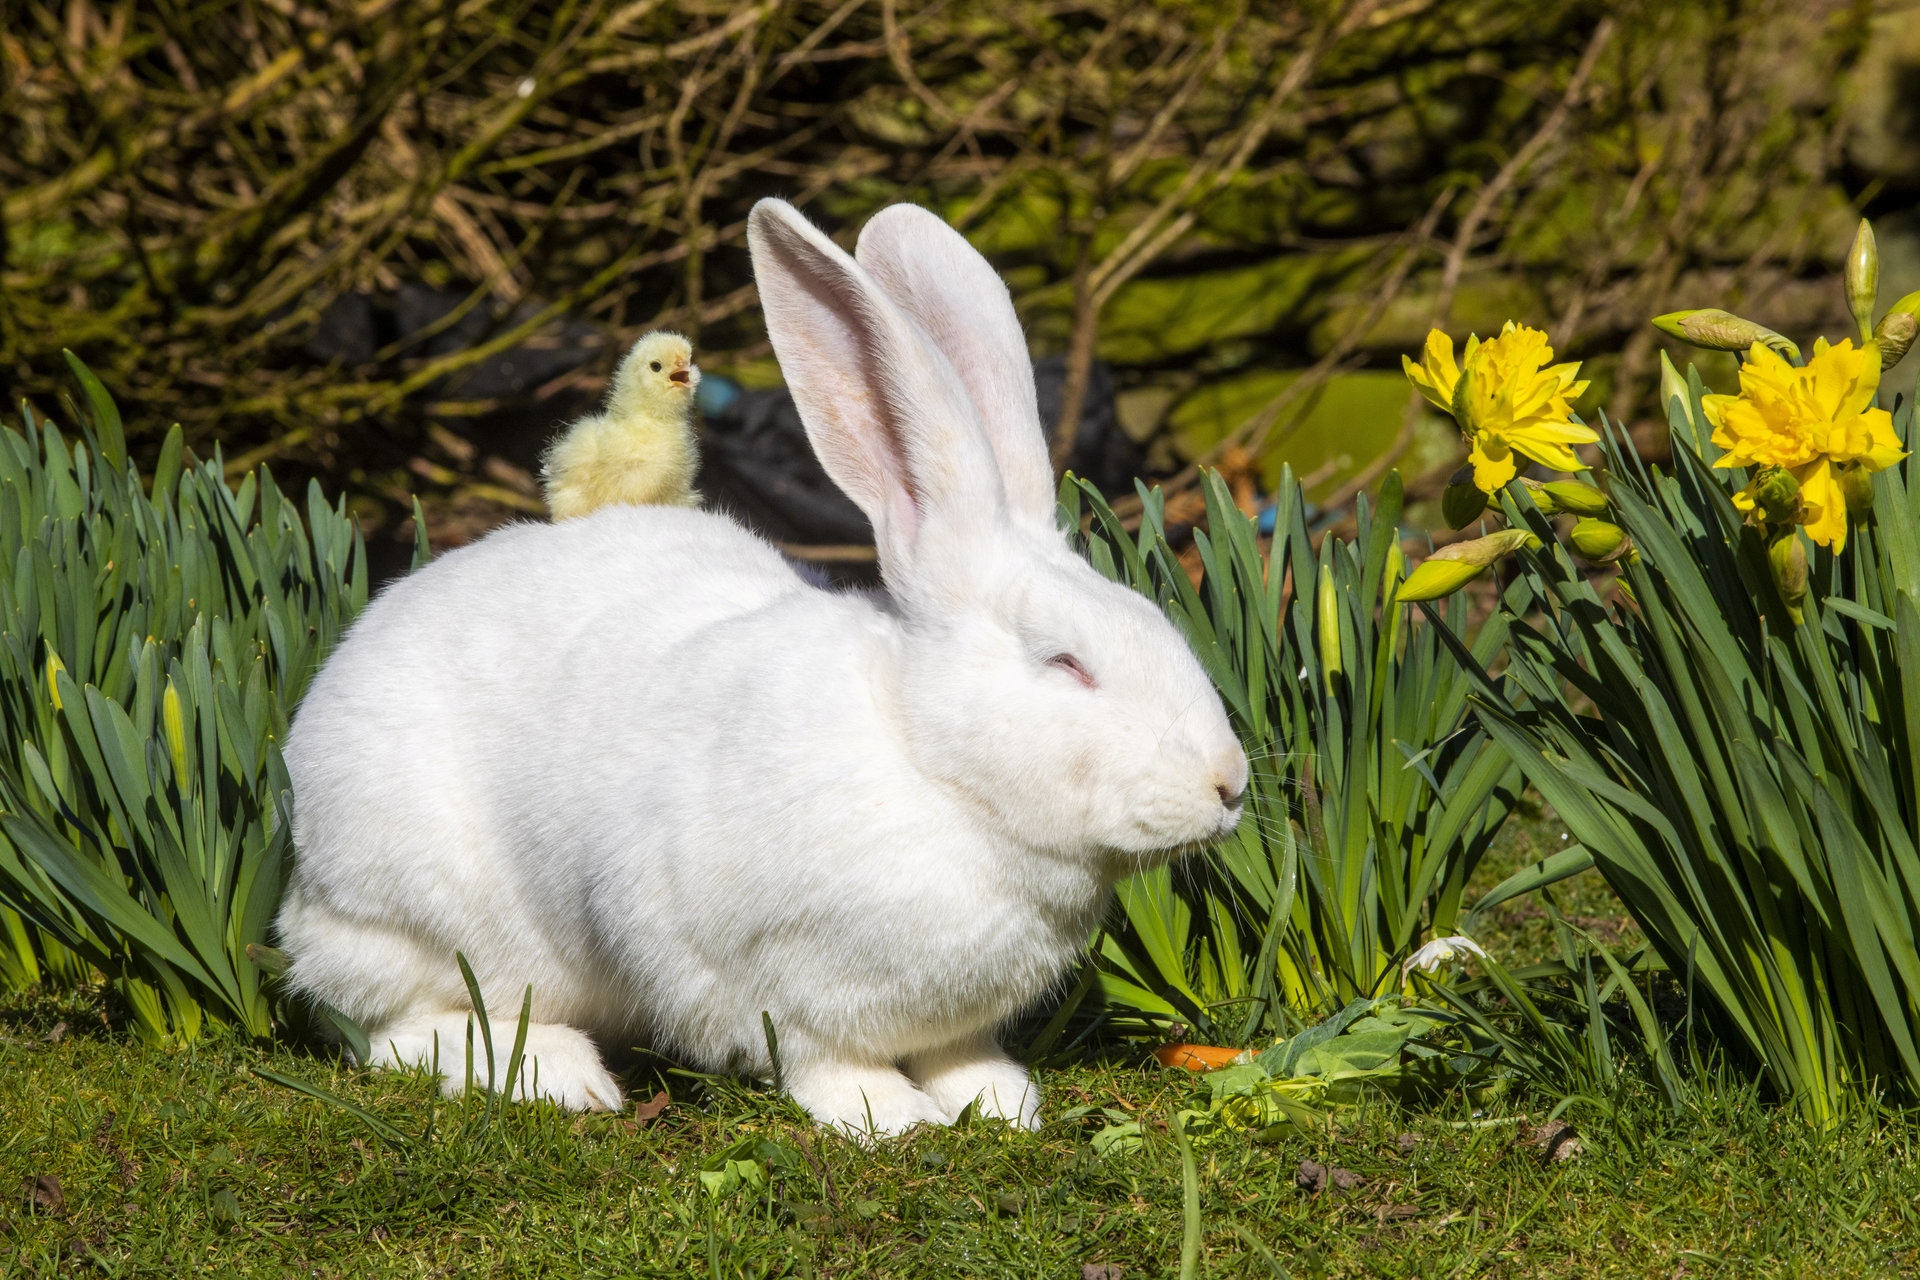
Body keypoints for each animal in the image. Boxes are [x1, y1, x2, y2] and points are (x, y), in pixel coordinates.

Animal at [278, 195, 1251, 1136]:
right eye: (1066, 663)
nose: (1229, 785)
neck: (929, 764)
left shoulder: (951, 1015)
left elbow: (960, 1055)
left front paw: (1001, 1103)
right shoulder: (757, 975)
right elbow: (823, 1058)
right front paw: (888, 1117)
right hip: (417, 913)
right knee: (397, 1027)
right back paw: (560, 1075)